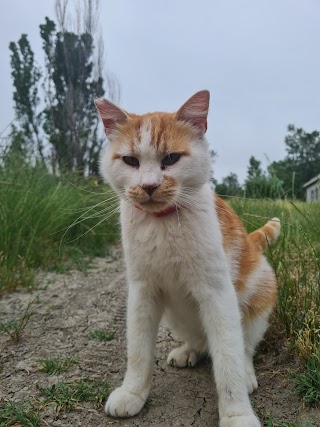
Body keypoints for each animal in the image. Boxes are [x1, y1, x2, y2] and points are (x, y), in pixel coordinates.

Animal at [94, 91, 280, 427]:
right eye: (130, 160)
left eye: (170, 159)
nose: (149, 185)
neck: (163, 225)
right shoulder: (142, 292)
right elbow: (138, 351)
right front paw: (133, 392)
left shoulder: (218, 295)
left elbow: (228, 359)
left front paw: (237, 414)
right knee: (201, 341)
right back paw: (188, 351)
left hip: (259, 294)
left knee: (244, 346)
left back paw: (246, 374)